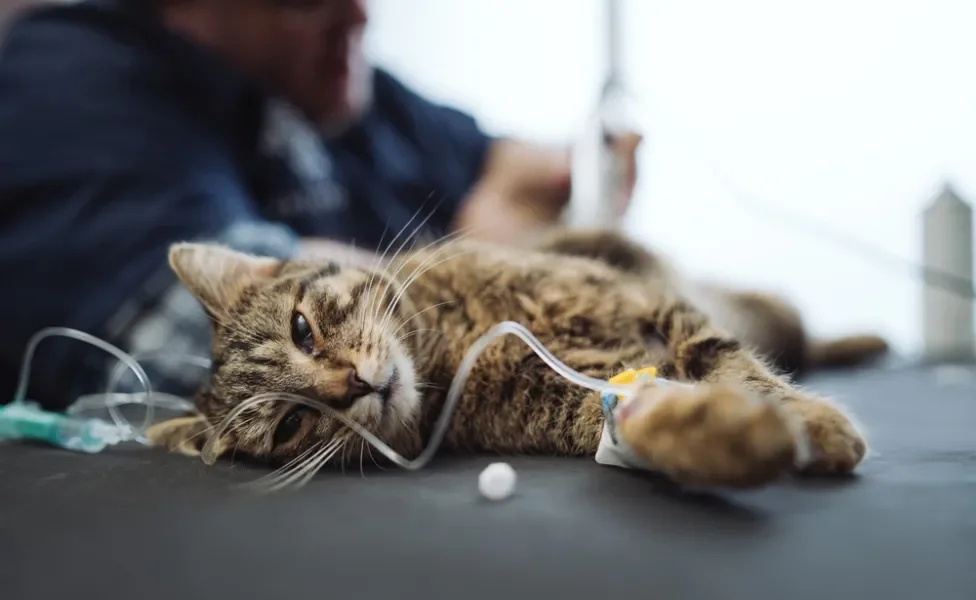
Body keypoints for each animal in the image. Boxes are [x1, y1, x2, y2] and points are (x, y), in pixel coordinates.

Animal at [147, 230, 884, 488]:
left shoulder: (658, 307)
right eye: (291, 425)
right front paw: (738, 437)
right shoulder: (582, 403)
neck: (453, 348)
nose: (353, 384)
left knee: (799, 337)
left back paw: (863, 342)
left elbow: (734, 365)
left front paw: (814, 424)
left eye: (302, 329)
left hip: (762, 309)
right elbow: (650, 415)